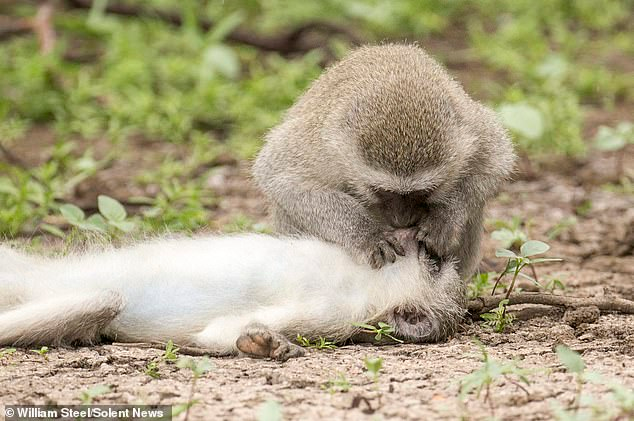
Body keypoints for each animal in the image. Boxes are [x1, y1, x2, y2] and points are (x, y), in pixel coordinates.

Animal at [1, 228, 464, 360]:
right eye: (435, 259)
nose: (422, 242)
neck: (364, 282)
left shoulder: (335, 313)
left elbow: (219, 334)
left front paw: (269, 345)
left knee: (103, 300)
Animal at [252, 44, 512, 278]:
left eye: (425, 192)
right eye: (381, 191)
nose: (402, 221)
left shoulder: (472, 128)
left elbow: (496, 162)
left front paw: (443, 219)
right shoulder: (322, 147)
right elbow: (280, 178)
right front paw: (368, 235)